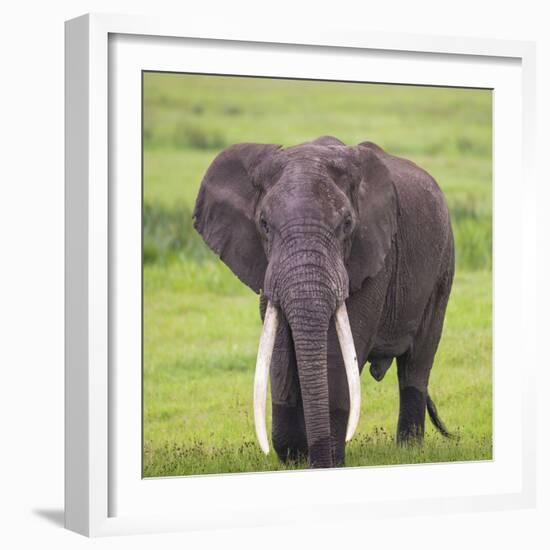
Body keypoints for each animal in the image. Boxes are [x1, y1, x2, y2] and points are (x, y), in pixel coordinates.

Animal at [192, 136, 454, 468]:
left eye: (347, 224)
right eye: (263, 224)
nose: (314, 458)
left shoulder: (374, 258)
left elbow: (339, 355)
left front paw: (328, 462)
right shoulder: (266, 267)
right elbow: (280, 348)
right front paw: (294, 459)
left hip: (443, 266)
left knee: (417, 361)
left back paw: (409, 452)